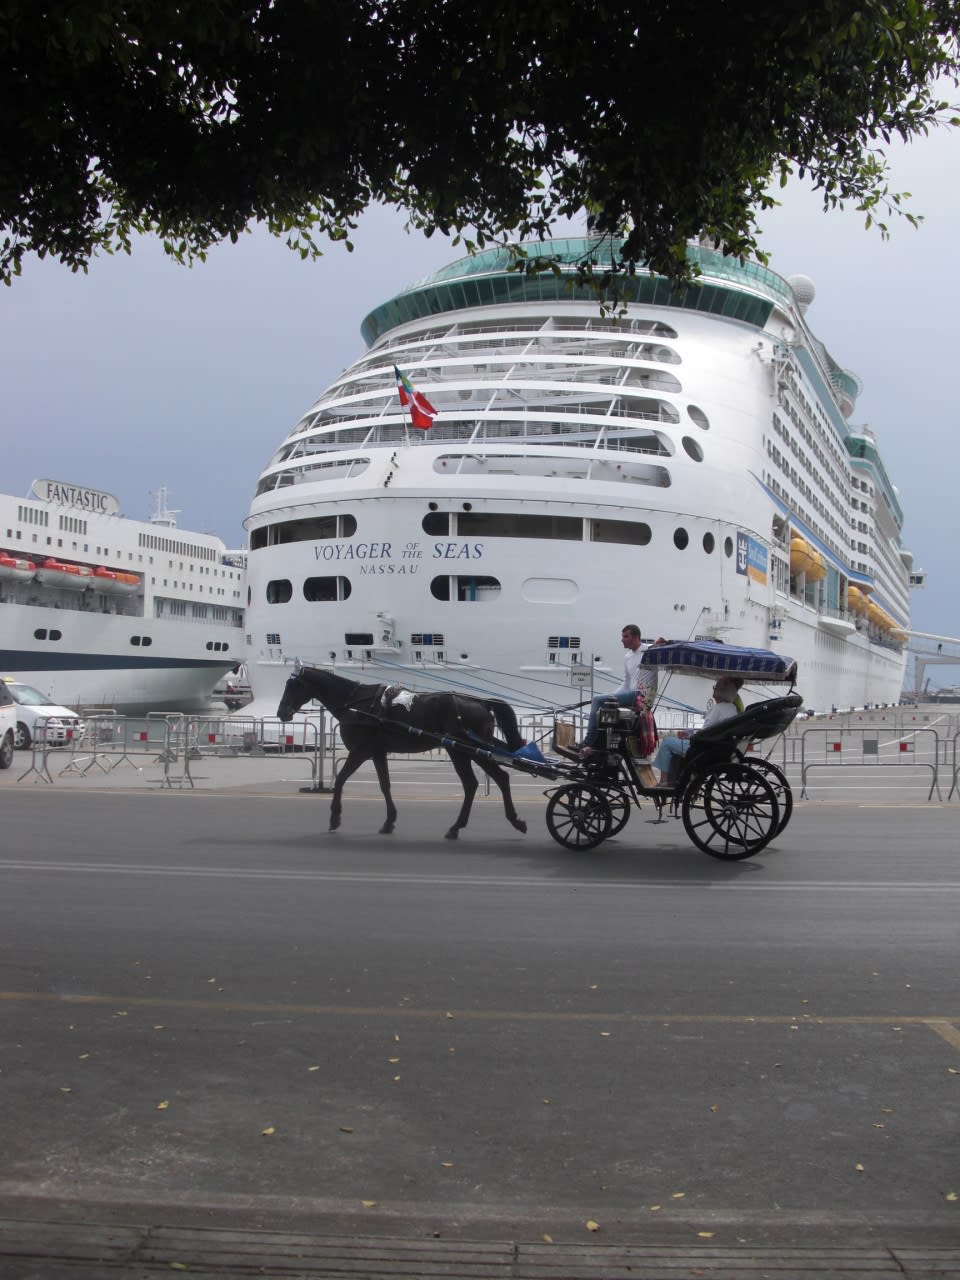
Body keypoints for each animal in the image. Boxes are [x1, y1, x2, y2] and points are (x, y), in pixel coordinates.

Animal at [276, 670, 535, 839]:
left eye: (292, 686)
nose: (281, 713)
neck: (357, 704)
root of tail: (481, 703)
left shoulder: (360, 751)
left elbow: (340, 779)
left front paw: (335, 817)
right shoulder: (377, 752)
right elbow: (385, 785)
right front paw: (389, 821)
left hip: (462, 751)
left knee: (477, 782)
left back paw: (462, 826)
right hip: (473, 751)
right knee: (495, 779)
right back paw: (506, 821)